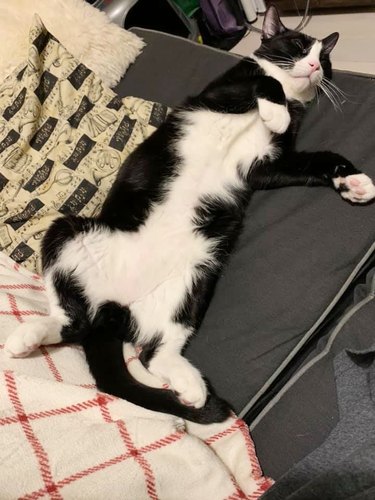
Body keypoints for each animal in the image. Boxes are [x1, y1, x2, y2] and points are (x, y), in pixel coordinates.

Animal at [5, 6, 375, 422]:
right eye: (296, 45)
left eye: (324, 59)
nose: (313, 66)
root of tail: (113, 309)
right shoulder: (224, 90)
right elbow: (265, 82)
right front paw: (276, 110)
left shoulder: (264, 166)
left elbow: (319, 159)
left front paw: (355, 182)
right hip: (66, 229)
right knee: (69, 317)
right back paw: (27, 336)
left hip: (194, 281)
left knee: (148, 352)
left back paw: (191, 387)